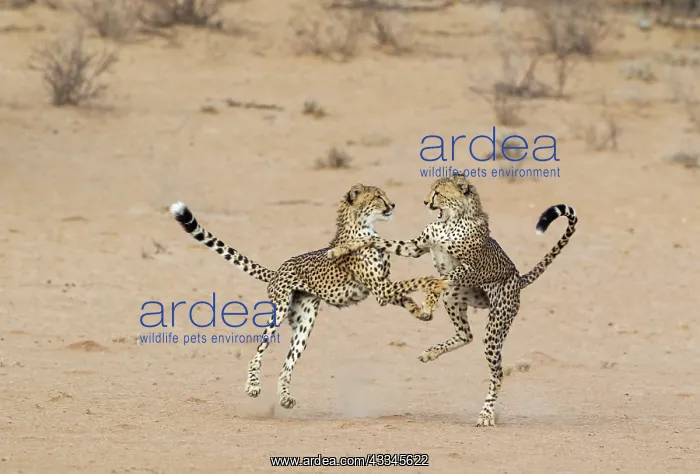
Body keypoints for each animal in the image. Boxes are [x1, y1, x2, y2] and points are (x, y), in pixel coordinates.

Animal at [168, 183, 448, 410]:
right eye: (378, 196)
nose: (392, 205)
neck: (364, 229)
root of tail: (277, 270)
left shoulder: (382, 287)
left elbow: (405, 295)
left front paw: (422, 312)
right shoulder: (380, 288)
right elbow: (413, 281)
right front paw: (436, 282)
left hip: (304, 323)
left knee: (286, 366)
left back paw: (285, 398)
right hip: (279, 311)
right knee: (258, 351)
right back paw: (252, 386)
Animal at [326, 175, 578, 427]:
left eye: (437, 192)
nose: (425, 201)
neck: (449, 219)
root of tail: (518, 277)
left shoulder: (468, 268)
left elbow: (440, 277)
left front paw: (428, 301)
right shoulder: (416, 247)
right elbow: (378, 241)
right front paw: (341, 248)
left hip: (495, 326)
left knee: (497, 373)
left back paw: (486, 414)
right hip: (454, 297)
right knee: (466, 334)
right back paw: (430, 352)